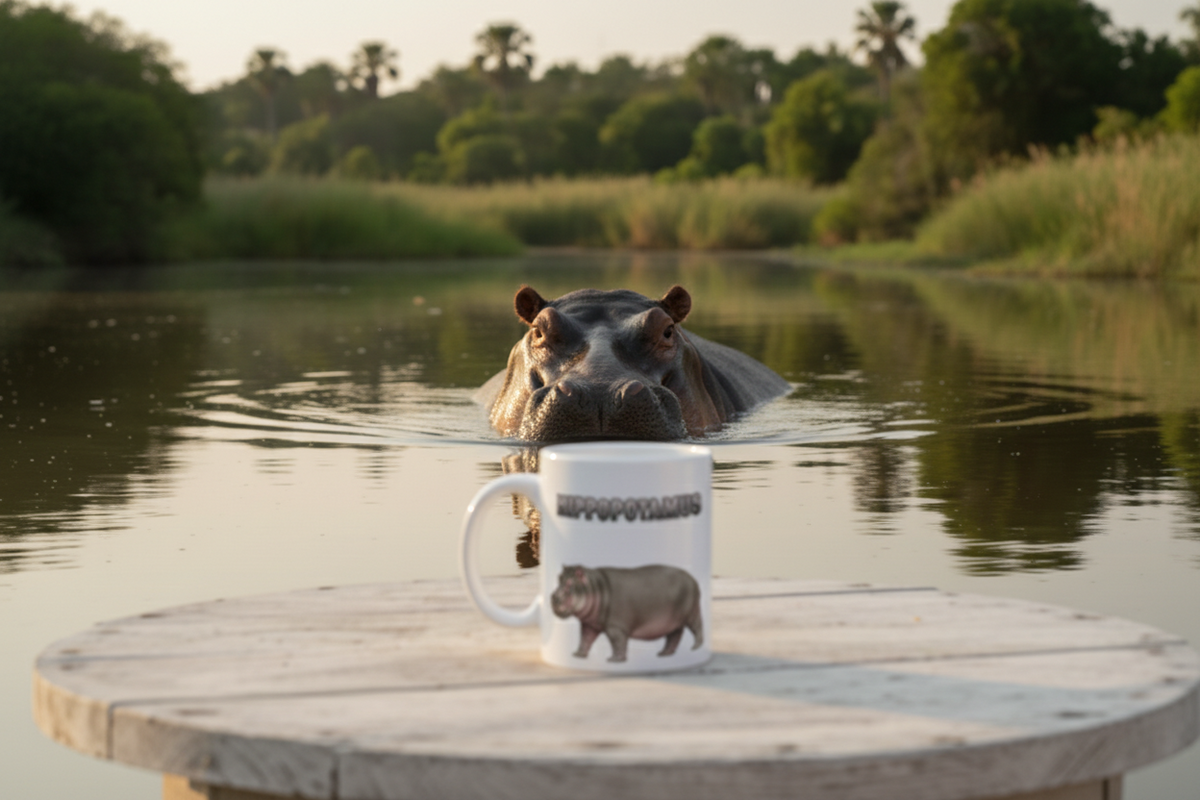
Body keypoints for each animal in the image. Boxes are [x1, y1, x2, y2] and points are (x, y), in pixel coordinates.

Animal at [550, 564, 703, 662]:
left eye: (569, 584)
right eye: (559, 578)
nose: (553, 597)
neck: (595, 587)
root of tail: (693, 579)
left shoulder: (615, 627)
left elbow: (618, 642)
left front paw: (613, 660)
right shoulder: (590, 625)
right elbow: (585, 639)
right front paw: (578, 655)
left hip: (691, 613)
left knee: (697, 627)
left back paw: (696, 647)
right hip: (673, 622)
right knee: (674, 636)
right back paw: (663, 654)